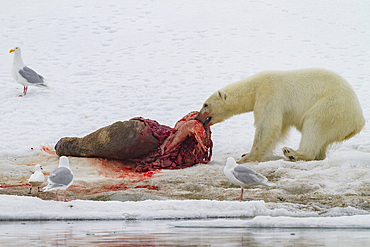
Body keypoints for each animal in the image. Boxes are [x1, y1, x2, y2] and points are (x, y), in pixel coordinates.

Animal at [197, 68, 364, 163]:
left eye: (205, 104)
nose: (197, 117)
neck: (255, 87)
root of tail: (359, 122)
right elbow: (277, 130)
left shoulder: (270, 93)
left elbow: (268, 124)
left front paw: (246, 157)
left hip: (333, 107)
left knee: (315, 123)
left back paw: (293, 153)